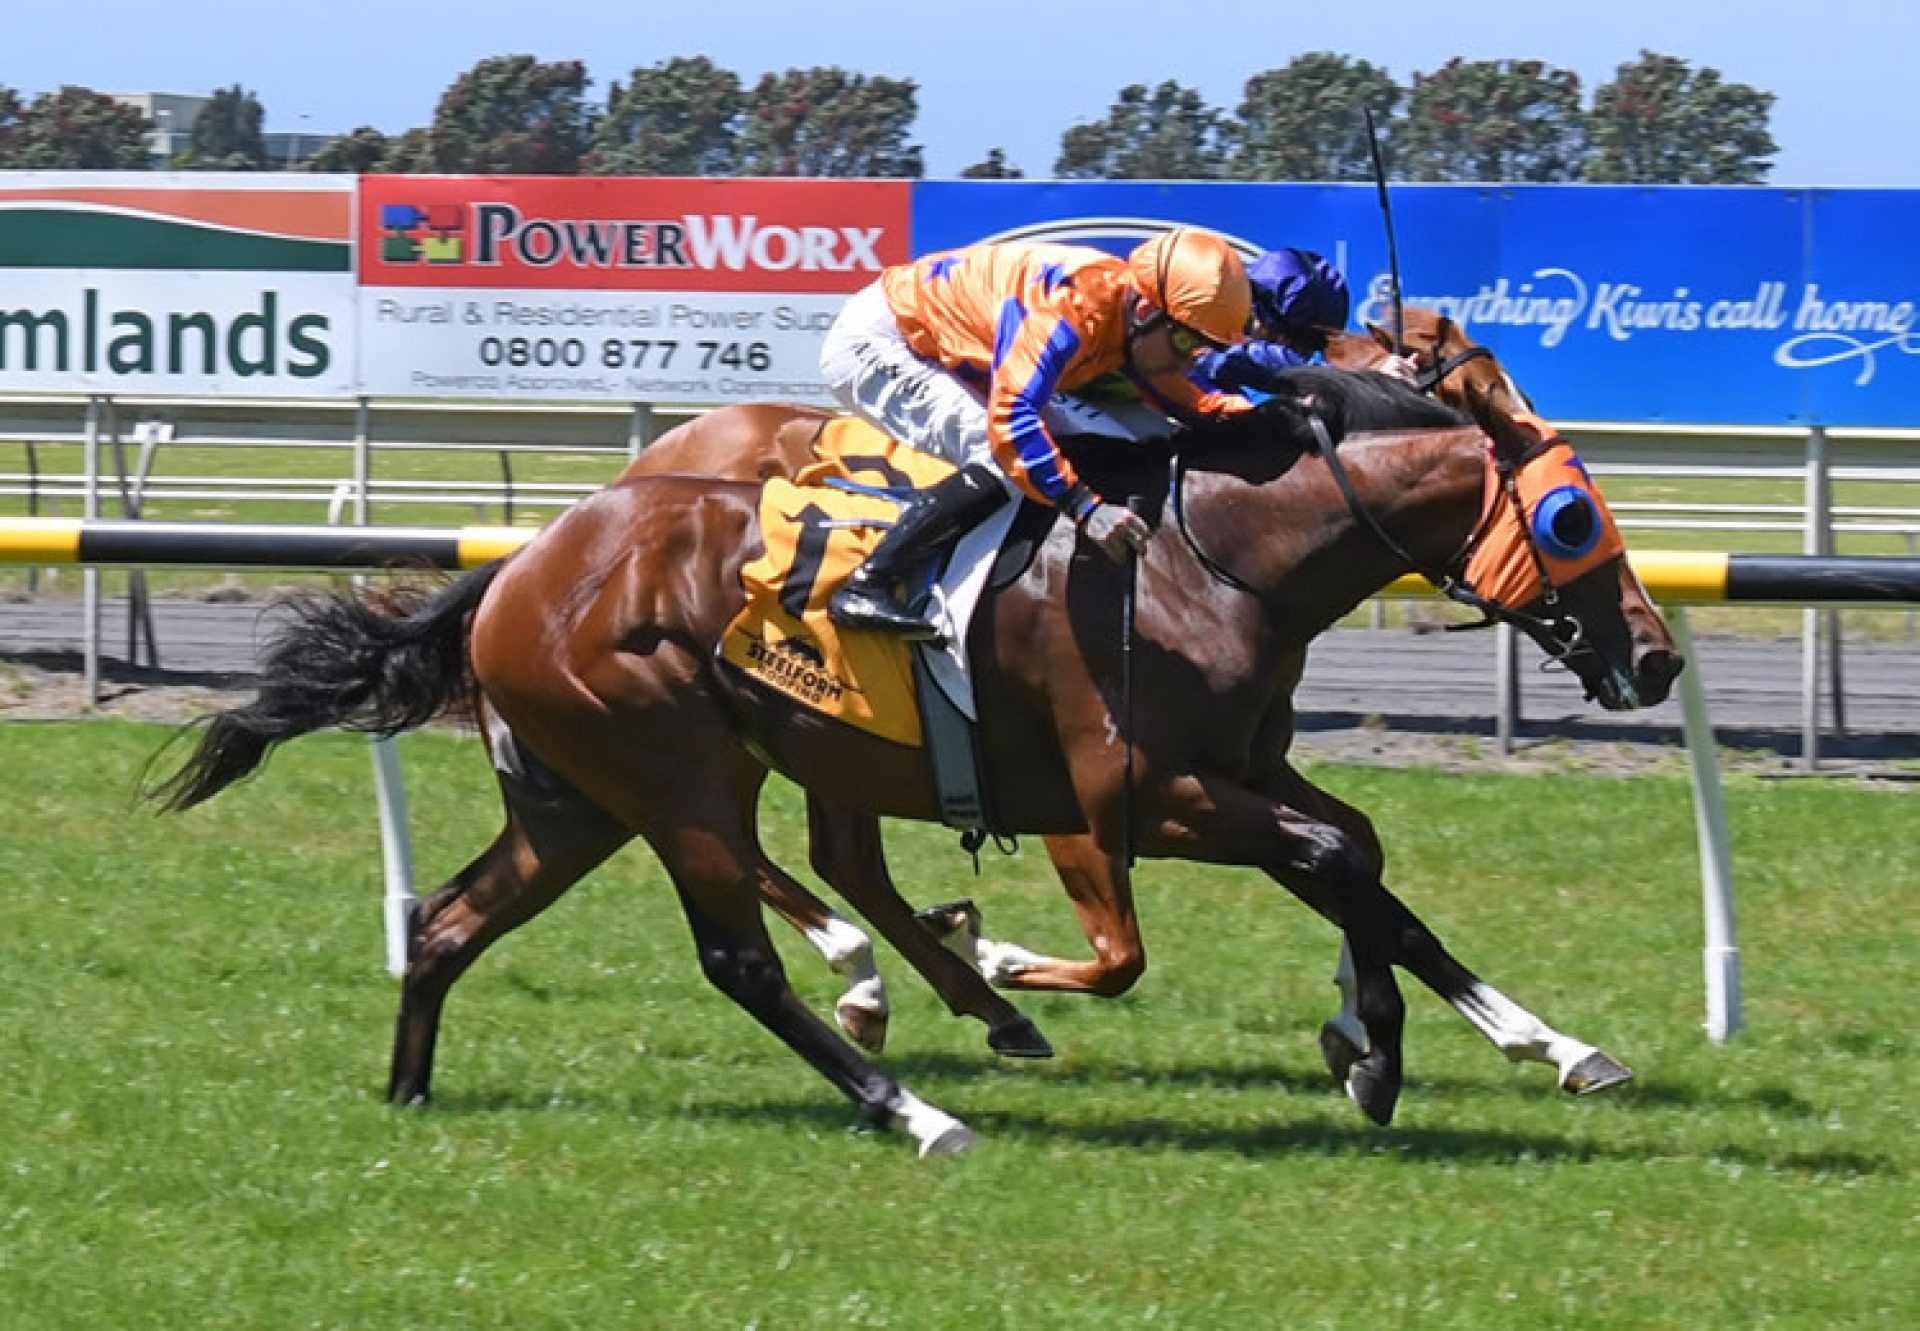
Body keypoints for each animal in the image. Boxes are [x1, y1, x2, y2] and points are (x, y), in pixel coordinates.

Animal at [145, 363, 1681, 1152]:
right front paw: (1378, 1047)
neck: (1212, 557)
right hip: (679, 767)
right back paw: (914, 1095)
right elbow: (1313, 863)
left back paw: (411, 1091)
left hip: (581, 796)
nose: (1660, 656)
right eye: (1572, 518)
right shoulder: (1143, 794)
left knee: (452, 917)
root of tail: (521, 563)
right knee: (741, 950)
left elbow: (1361, 858)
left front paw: (1502, 1042)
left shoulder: (1235, 771)